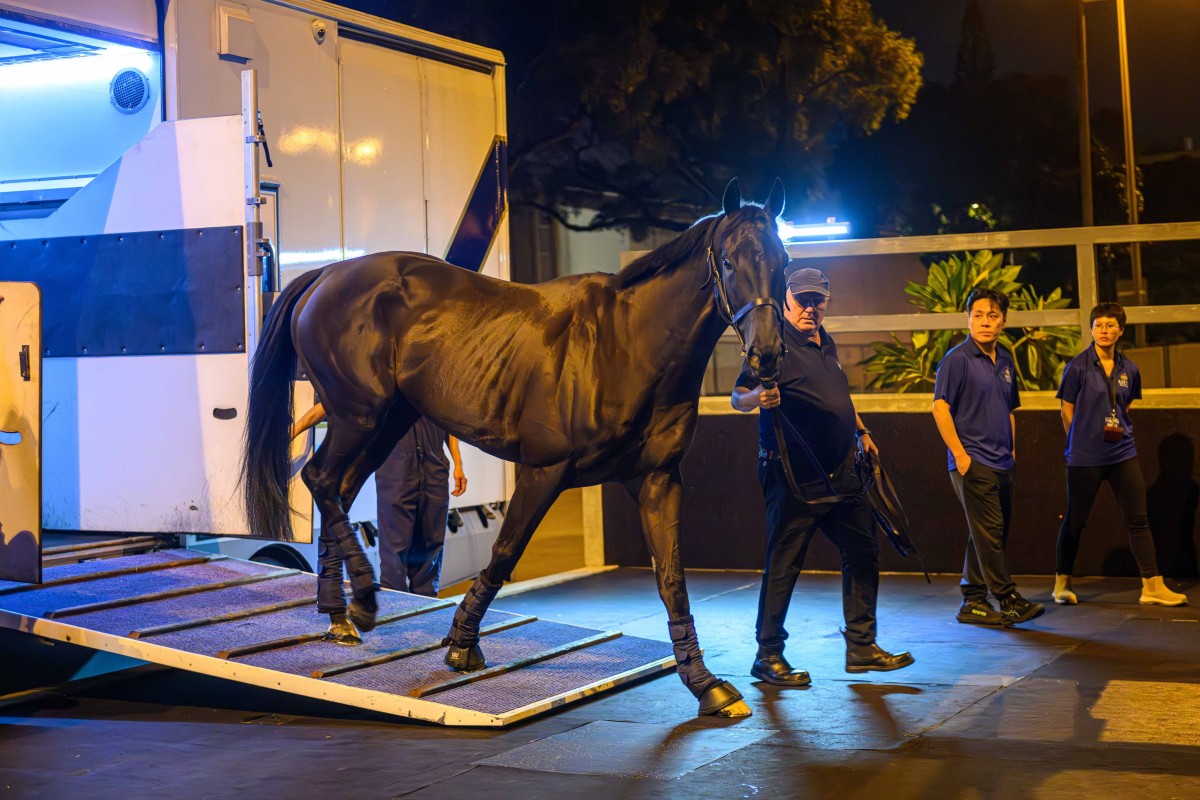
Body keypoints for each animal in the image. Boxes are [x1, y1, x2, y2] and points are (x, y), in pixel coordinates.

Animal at [242, 178, 787, 714]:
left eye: (782, 261)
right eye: (730, 262)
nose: (766, 355)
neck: (627, 346)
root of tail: (328, 274)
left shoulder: (657, 480)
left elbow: (672, 580)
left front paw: (705, 683)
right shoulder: (544, 471)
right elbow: (506, 551)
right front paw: (462, 643)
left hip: (385, 422)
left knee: (339, 489)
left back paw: (339, 612)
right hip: (359, 415)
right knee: (320, 479)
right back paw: (362, 602)